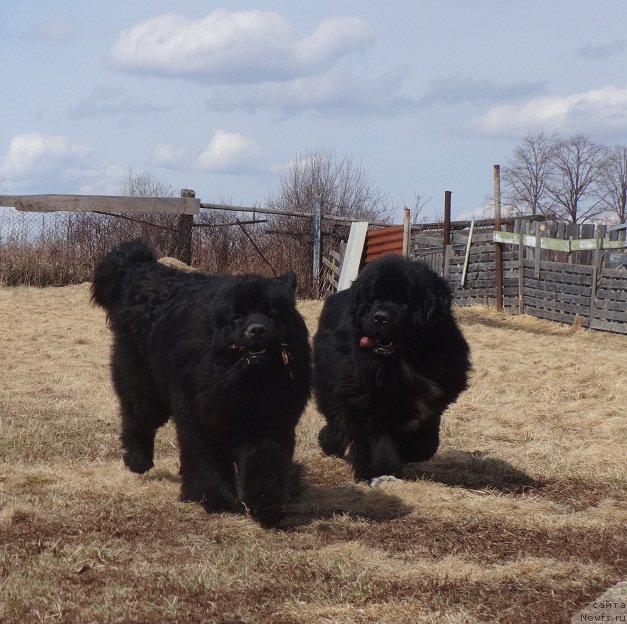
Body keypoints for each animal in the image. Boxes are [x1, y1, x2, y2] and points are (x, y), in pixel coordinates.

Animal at [91, 239, 312, 528]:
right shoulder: (200, 419)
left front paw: (267, 506)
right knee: (136, 419)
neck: (243, 383)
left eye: (272, 315)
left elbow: (266, 462)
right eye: (237, 317)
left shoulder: (269, 424)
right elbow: (207, 463)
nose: (257, 329)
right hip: (143, 385)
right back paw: (138, 461)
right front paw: (217, 500)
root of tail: (141, 270)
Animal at [314, 254, 472, 482]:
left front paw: (409, 451)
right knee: (336, 420)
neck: (405, 362)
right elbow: (378, 446)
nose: (380, 317)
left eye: (404, 301)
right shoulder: (365, 401)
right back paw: (328, 442)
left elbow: (427, 444)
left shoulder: (433, 399)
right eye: (373, 299)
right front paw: (377, 470)